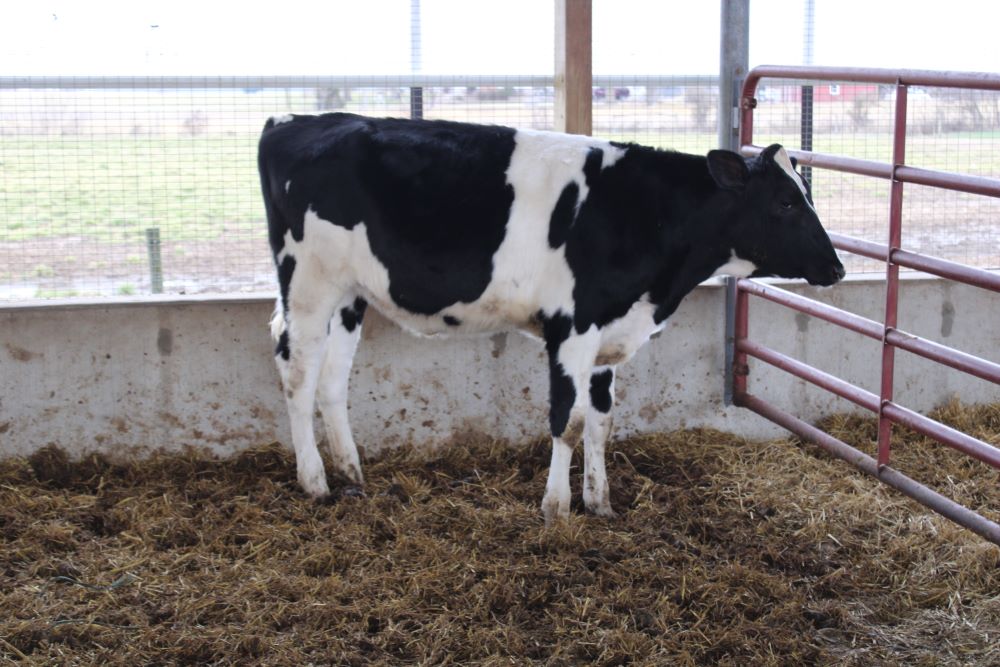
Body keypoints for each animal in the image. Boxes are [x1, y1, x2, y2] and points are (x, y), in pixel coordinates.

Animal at [257, 112, 844, 523]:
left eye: (808, 193)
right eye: (786, 202)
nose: (837, 266)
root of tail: (295, 120)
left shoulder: (610, 332)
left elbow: (603, 421)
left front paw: (600, 502)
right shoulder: (572, 328)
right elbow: (569, 419)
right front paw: (556, 508)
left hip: (350, 295)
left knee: (332, 379)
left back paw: (351, 471)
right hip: (308, 284)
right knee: (296, 373)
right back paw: (315, 482)